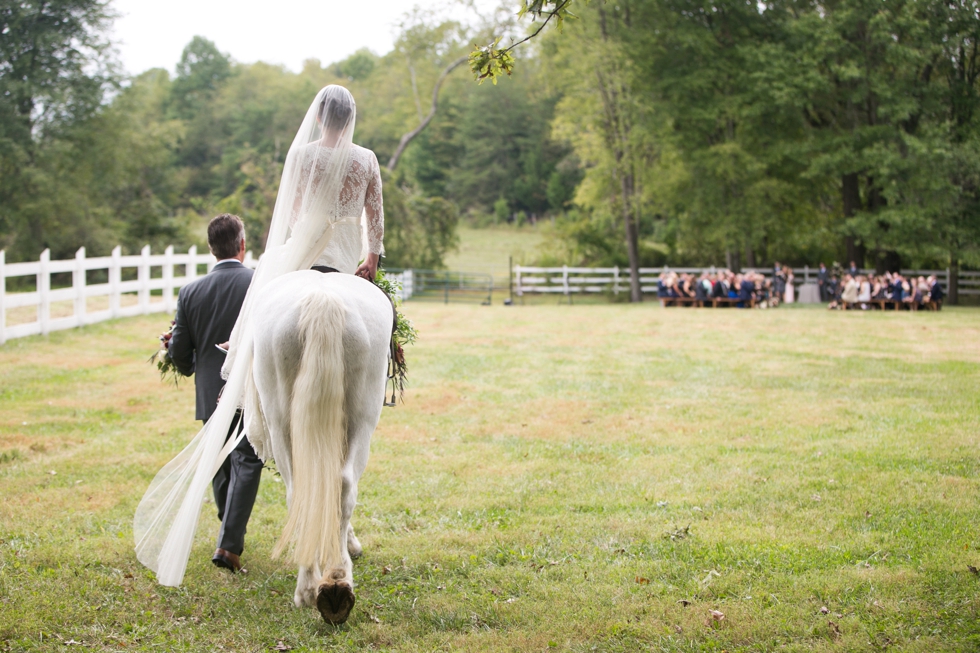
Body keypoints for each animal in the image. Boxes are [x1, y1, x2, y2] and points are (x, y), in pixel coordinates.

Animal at [247, 270, 392, 620]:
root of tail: (323, 297)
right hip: (360, 417)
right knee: (341, 486)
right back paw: (334, 581)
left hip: (283, 421)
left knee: (307, 490)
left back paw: (314, 587)